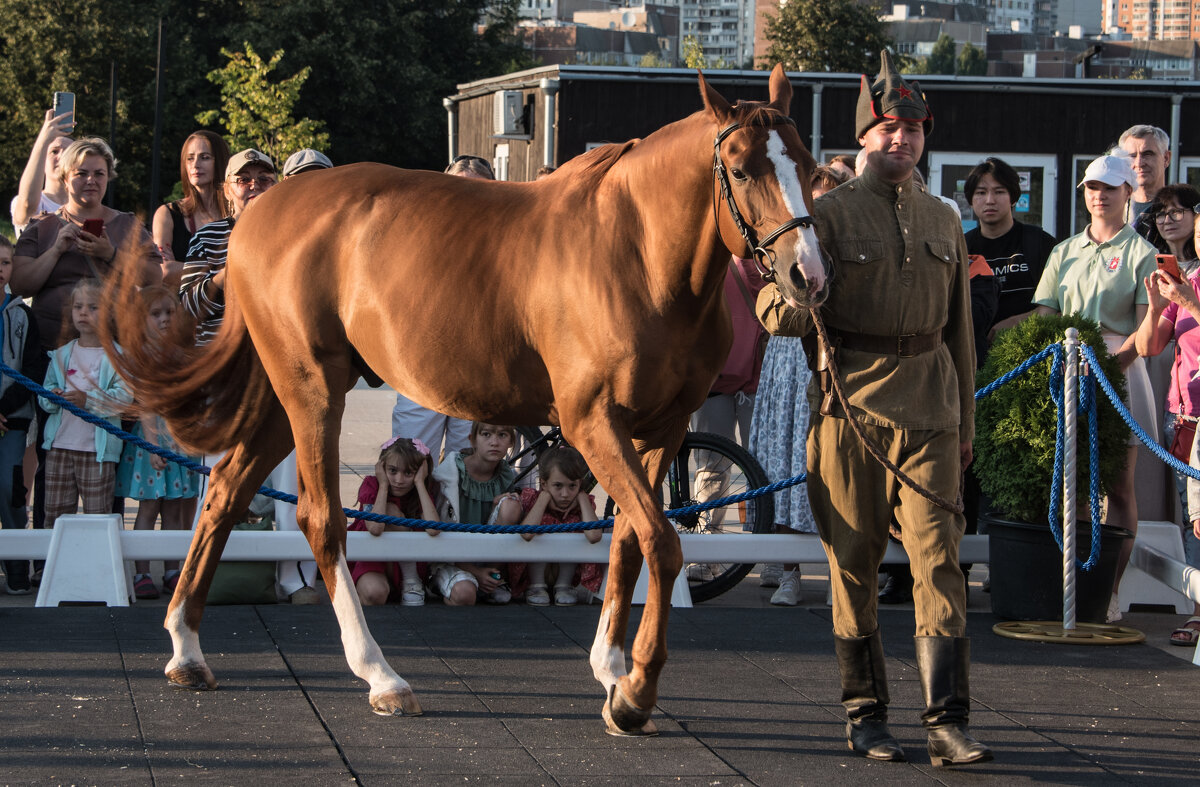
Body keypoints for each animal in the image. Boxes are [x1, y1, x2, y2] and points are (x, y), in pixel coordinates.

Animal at [108, 64, 825, 734]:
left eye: (810, 166)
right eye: (741, 168)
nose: (808, 275)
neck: (638, 256)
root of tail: (258, 215)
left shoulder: (662, 429)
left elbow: (630, 538)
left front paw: (612, 669)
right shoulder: (592, 423)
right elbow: (663, 540)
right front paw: (635, 692)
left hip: (282, 399)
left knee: (226, 492)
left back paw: (187, 649)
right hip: (310, 390)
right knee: (320, 518)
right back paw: (380, 675)